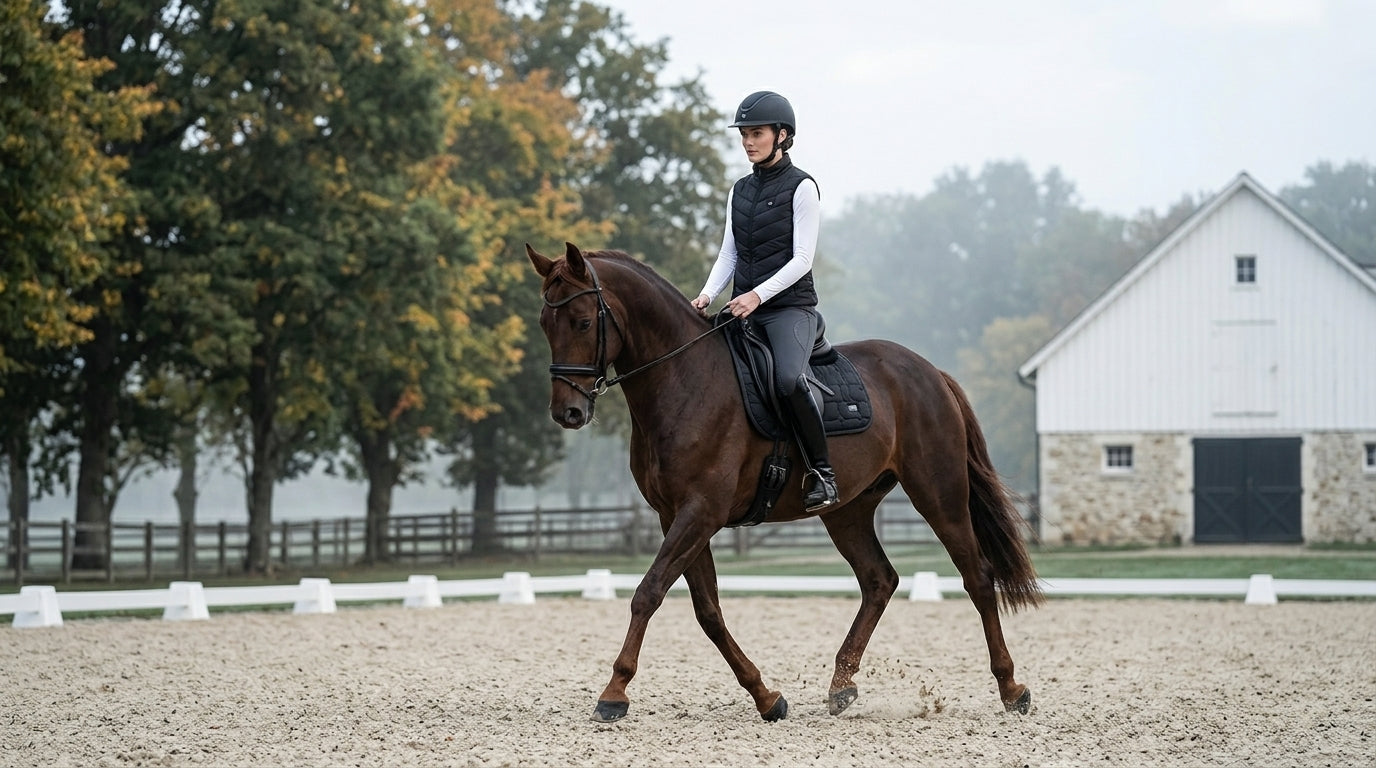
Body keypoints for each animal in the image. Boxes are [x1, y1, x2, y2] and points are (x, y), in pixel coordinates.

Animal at [525, 241, 1043, 723]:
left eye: (582, 322)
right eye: (545, 324)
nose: (567, 413)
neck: (684, 379)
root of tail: (930, 371)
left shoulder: (700, 512)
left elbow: (648, 593)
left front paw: (614, 693)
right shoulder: (677, 517)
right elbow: (708, 611)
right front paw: (766, 697)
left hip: (939, 494)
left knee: (977, 577)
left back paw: (1011, 688)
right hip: (847, 510)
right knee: (879, 580)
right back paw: (841, 686)